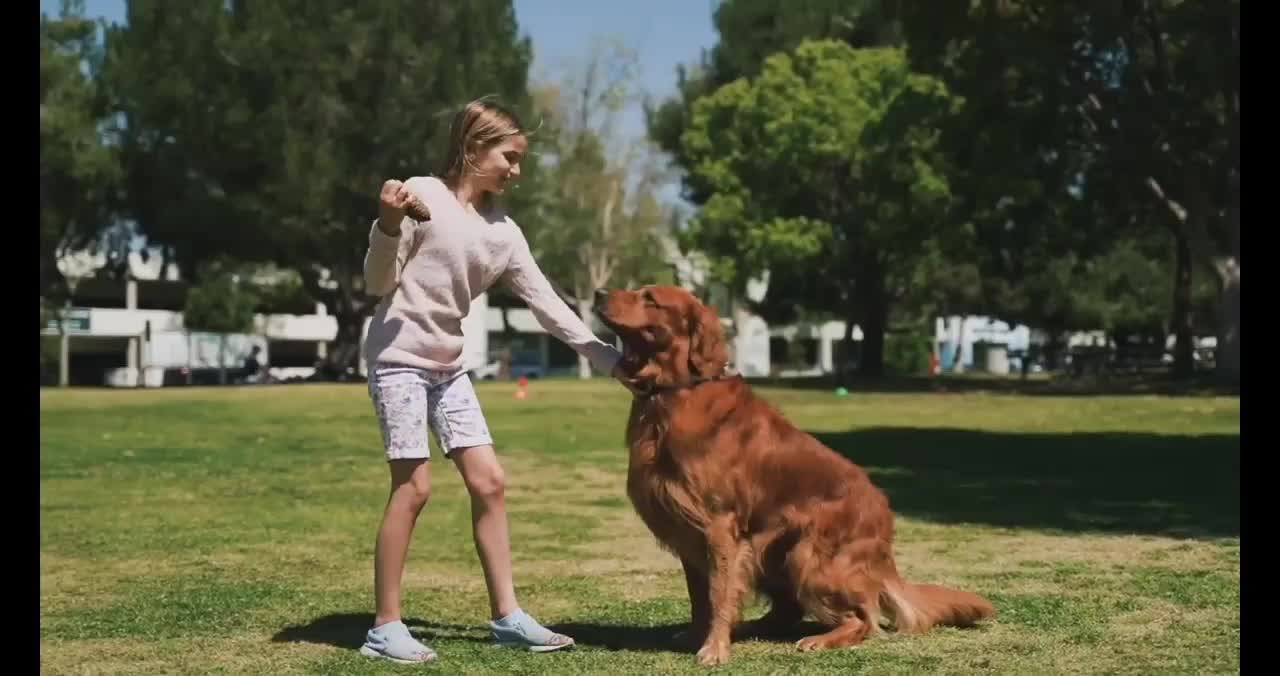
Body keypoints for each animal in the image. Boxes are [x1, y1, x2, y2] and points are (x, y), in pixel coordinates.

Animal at [593, 284, 993, 665]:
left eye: (650, 298)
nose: (598, 293)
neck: (674, 392)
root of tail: (885, 523)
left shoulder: (719, 525)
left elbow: (719, 593)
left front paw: (715, 648)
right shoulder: (688, 531)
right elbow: (700, 597)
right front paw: (699, 637)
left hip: (809, 555)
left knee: (864, 618)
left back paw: (819, 638)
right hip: (775, 552)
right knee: (789, 612)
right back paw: (749, 627)